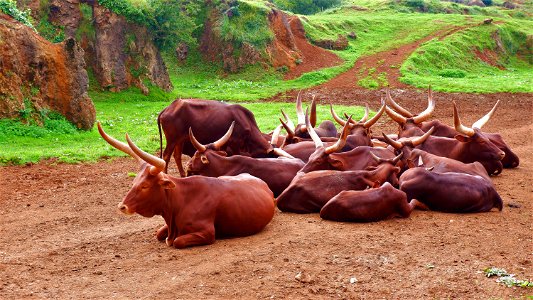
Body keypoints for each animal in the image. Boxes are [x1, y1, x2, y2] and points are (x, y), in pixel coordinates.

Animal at [97, 122, 276, 248]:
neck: (181, 200)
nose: (122, 206)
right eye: (134, 182)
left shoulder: (207, 233)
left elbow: (177, 242)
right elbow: (159, 233)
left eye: (145, 186)